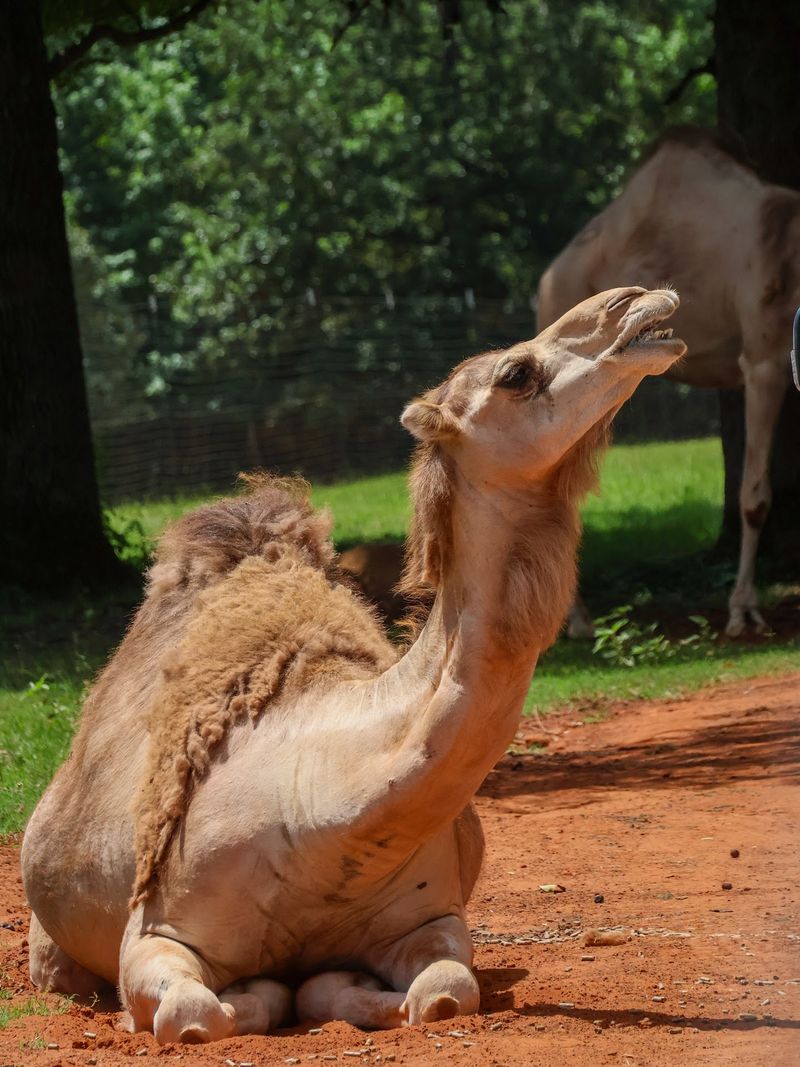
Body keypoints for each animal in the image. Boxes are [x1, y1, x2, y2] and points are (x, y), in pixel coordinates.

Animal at [21, 287, 685, 1044]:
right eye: (515, 373)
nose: (635, 300)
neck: (320, 810)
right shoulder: (156, 931)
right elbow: (195, 1014)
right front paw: (244, 995)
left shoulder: (429, 916)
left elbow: (447, 993)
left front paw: (341, 988)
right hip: (49, 933)